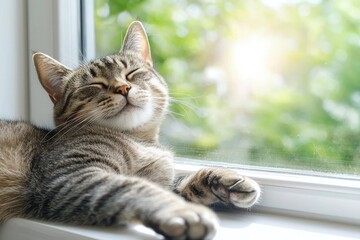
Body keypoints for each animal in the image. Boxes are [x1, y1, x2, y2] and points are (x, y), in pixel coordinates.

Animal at [0, 21, 260, 239]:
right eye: (95, 85)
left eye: (131, 73)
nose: (123, 88)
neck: (139, 140)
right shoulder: (69, 177)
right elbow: (137, 188)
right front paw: (182, 211)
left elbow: (179, 185)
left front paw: (223, 180)